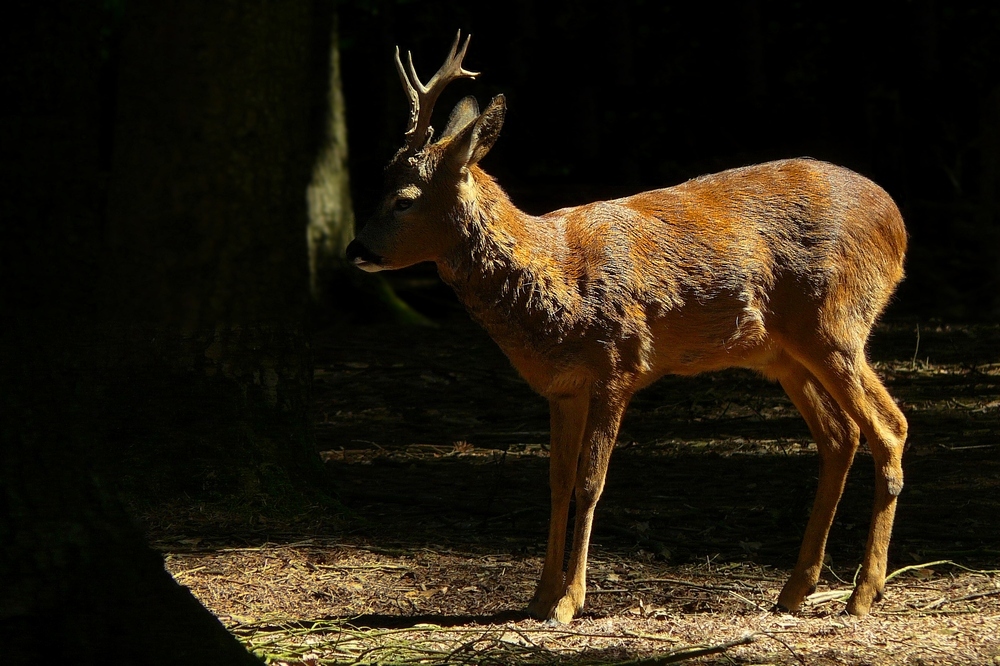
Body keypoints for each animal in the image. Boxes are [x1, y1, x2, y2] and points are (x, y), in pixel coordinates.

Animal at [348, 31, 912, 624]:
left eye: (403, 199)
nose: (355, 249)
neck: (557, 279)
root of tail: (898, 222)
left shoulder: (618, 364)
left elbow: (591, 482)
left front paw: (568, 601)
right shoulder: (561, 386)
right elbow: (557, 482)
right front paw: (538, 596)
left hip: (835, 323)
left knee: (889, 426)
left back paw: (863, 593)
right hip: (781, 355)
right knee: (840, 435)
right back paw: (796, 589)